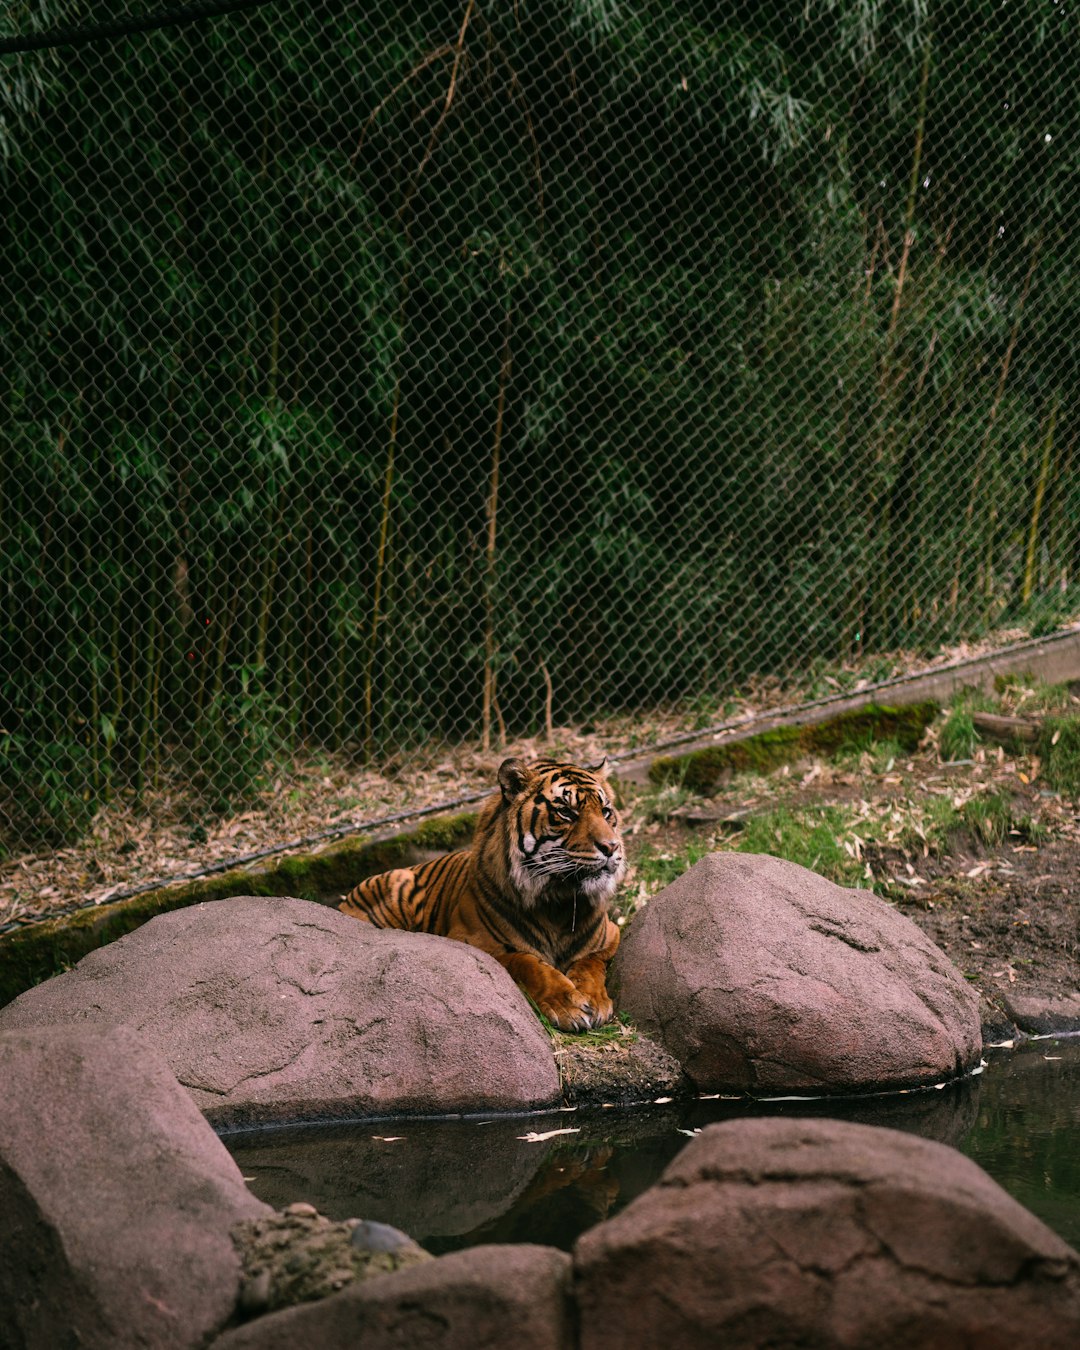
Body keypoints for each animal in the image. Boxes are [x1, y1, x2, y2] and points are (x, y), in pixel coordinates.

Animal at [337, 756, 623, 1026]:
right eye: (566, 812)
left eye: (605, 811)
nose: (611, 847)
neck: (559, 902)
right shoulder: (474, 944)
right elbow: (528, 963)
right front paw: (567, 1005)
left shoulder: (610, 936)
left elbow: (590, 964)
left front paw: (596, 1001)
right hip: (399, 881)